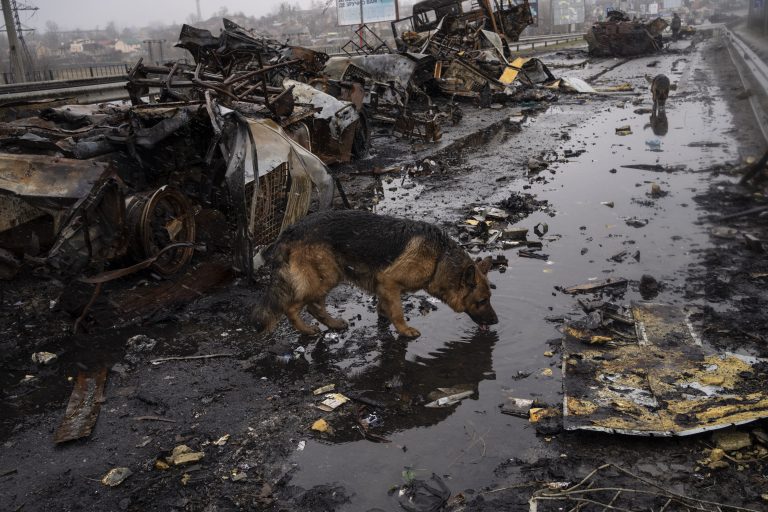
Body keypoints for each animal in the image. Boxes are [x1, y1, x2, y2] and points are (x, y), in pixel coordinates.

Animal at [252, 210, 500, 338]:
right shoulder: (389, 281)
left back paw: (333, 325)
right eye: (481, 301)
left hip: (329, 275)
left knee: (313, 306)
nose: (496, 321)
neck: (439, 257)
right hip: (325, 277)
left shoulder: (384, 286)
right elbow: (398, 311)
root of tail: (289, 231)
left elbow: (384, 306)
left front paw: (384, 318)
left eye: (489, 299)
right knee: (292, 307)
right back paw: (306, 330)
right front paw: (404, 330)